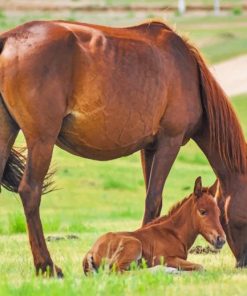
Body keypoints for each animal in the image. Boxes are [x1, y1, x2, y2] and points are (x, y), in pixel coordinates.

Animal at [83, 177, 226, 274]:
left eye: (219, 213)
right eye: (203, 211)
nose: (221, 240)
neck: (174, 233)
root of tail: (91, 251)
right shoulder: (165, 258)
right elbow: (200, 267)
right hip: (134, 245)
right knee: (119, 272)